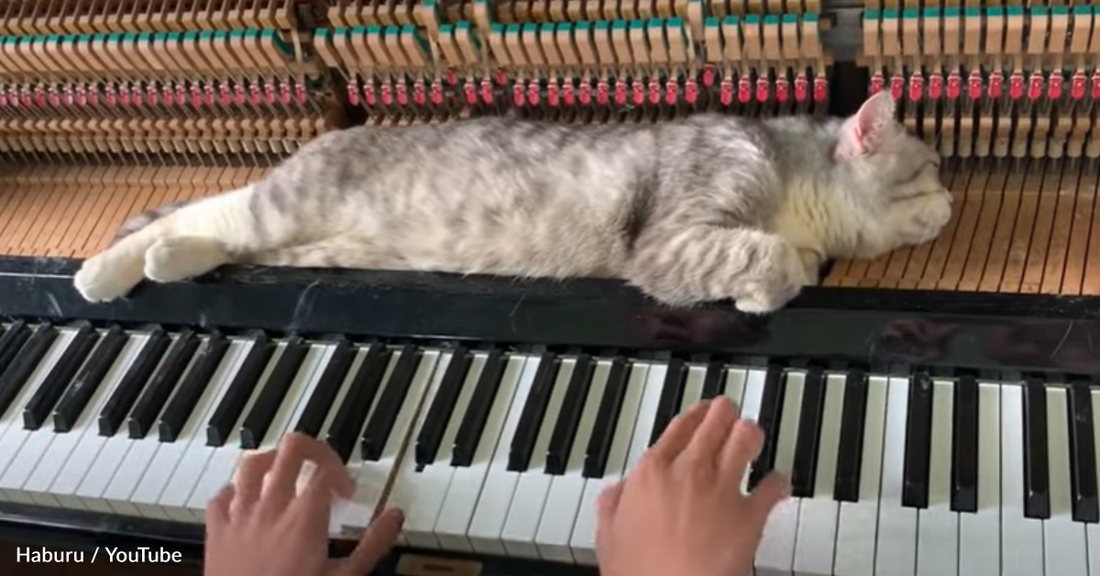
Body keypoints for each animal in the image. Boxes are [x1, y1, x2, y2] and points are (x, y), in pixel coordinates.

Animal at [73, 91, 954, 314]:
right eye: (932, 166)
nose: (954, 198)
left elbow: (789, 254)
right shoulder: (672, 236)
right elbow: (769, 256)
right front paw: (765, 289)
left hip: (316, 246)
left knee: (223, 240)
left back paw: (168, 262)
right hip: (286, 206)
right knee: (207, 210)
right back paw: (106, 271)